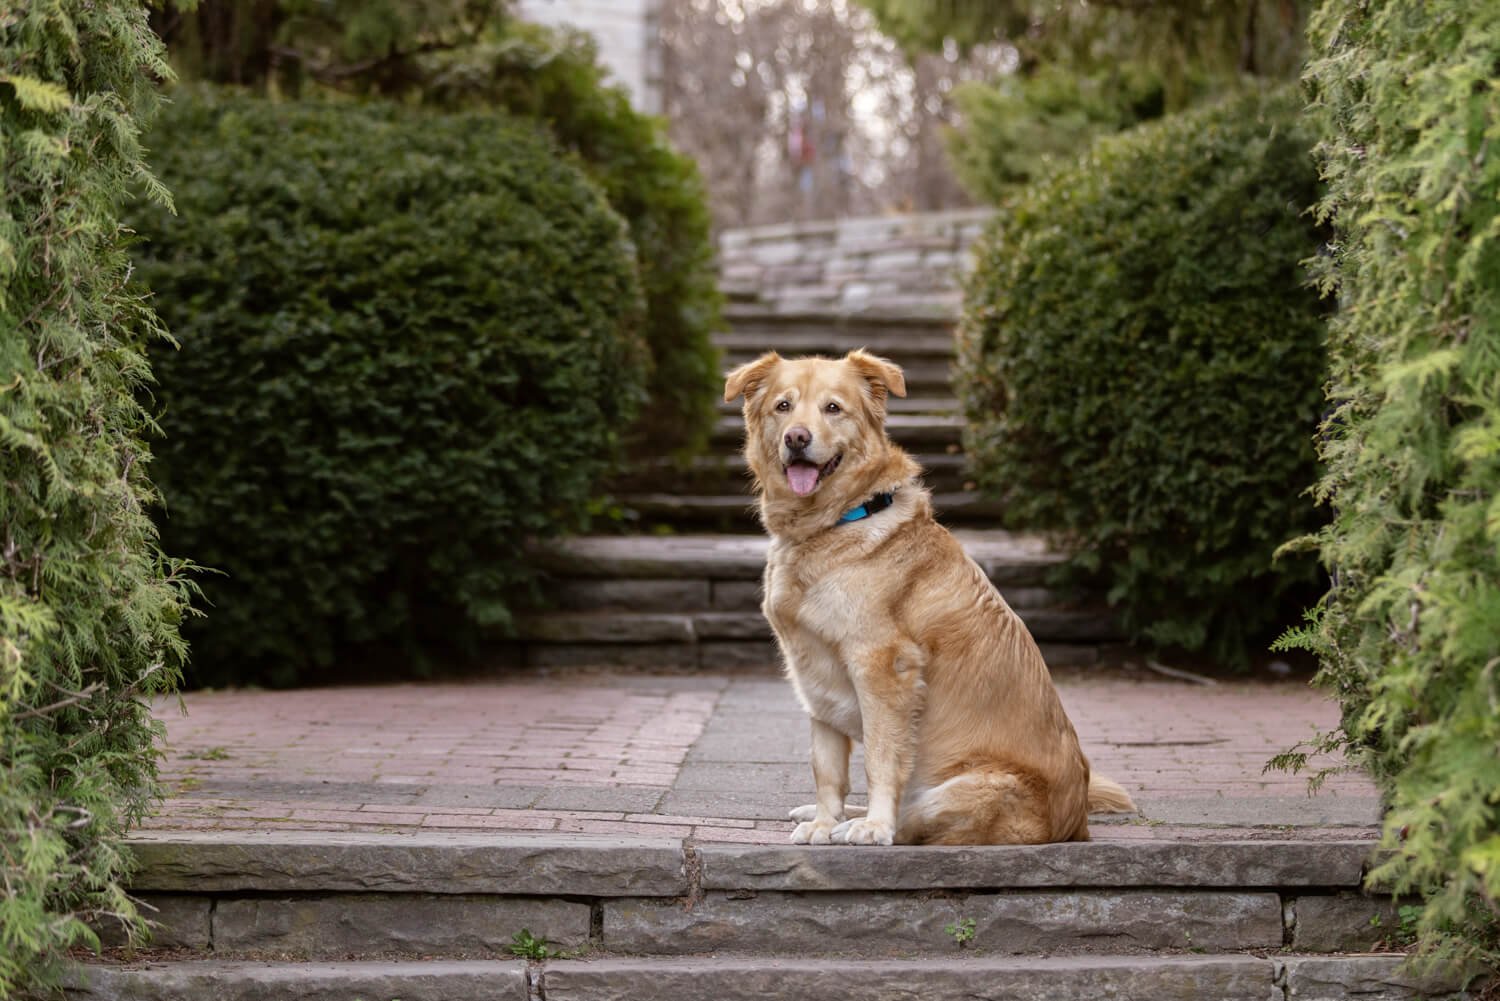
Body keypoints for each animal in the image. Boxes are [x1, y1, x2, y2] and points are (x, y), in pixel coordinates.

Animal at [720, 348, 1128, 840]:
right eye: (783, 406)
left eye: (833, 408)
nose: (797, 438)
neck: (836, 522)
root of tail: (1076, 820)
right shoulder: (812, 670)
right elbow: (826, 765)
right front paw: (823, 822)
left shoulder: (883, 665)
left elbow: (881, 758)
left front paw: (873, 827)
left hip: (959, 792)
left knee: (917, 821)